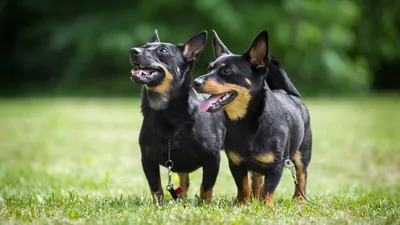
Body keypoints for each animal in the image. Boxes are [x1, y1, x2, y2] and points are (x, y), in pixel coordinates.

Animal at [130, 29, 227, 203]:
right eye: (144, 46)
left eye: (163, 50)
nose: (133, 51)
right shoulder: (147, 160)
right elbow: (156, 188)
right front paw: (159, 204)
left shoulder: (213, 159)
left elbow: (206, 187)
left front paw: (205, 205)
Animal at [194, 30, 312, 205]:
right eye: (209, 68)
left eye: (226, 71)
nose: (195, 82)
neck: (246, 123)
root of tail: (290, 94)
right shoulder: (237, 164)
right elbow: (244, 186)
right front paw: (243, 204)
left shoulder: (276, 167)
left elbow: (268, 191)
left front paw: (265, 207)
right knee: (256, 180)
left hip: (302, 154)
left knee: (302, 175)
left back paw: (299, 199)